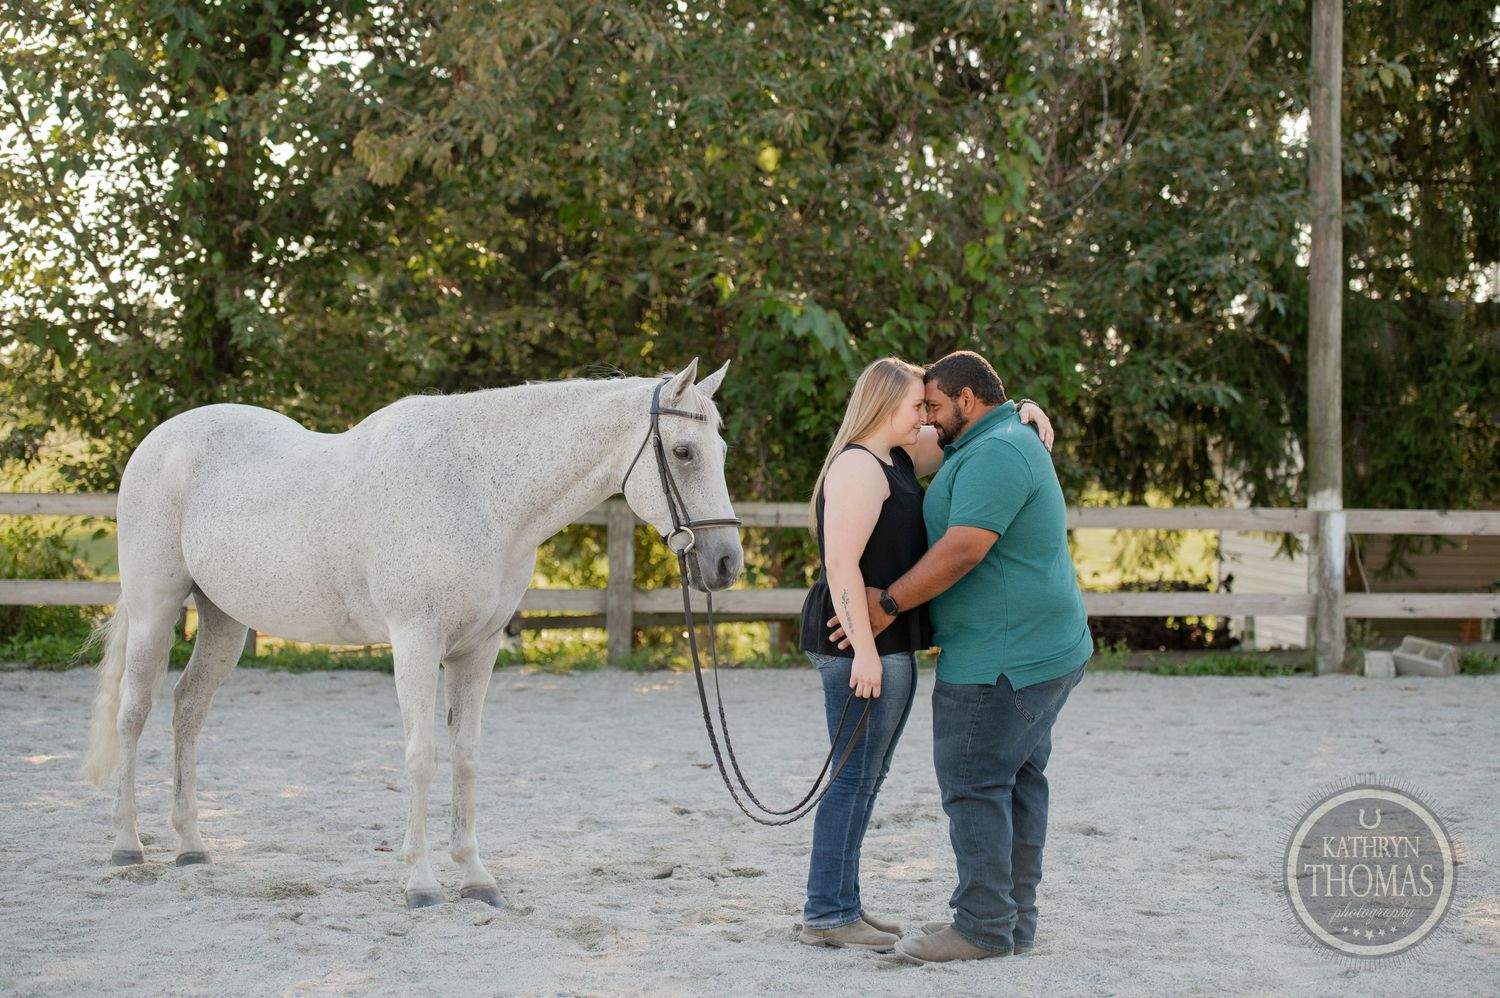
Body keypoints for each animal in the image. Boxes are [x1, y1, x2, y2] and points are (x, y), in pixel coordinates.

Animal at [80, 359, 743, 909]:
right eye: (684, 451)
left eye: (720, 450)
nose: (725, 564)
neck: (478, 492)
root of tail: (161, 440)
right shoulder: (416, 642)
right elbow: (422, 756)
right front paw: (421, 883)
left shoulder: (478, 650)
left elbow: (466, 758)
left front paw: (475, 878)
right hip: (155, 609)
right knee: (133, 713)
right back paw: (126, 844)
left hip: (224, 621)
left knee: (187, 709)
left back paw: (191, 845)